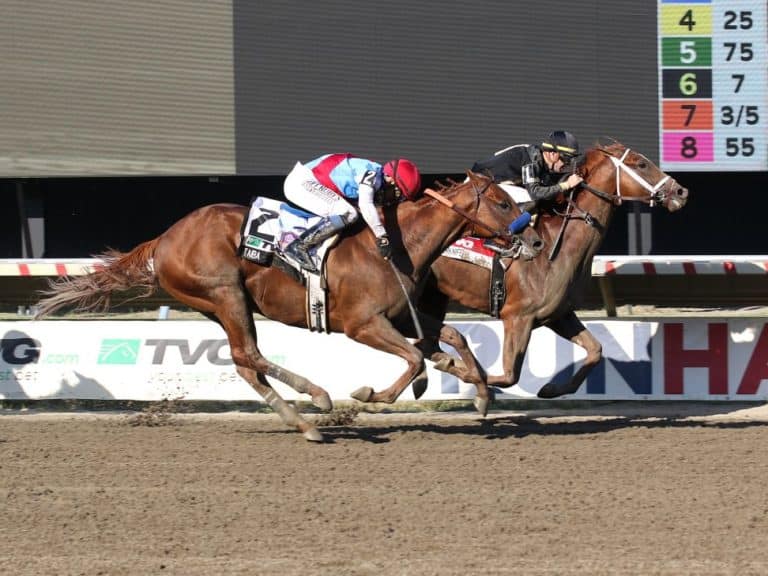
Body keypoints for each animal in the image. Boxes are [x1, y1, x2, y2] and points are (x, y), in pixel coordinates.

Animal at [34, 171, 540, 440]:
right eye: (501, 202)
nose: (535, 239)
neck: (397, 245)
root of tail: (165, 238)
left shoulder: (402, 315)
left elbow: (452, 340)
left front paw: (478, 392)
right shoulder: (362, 324)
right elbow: (415, 359)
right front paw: (369, 395)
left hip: (216, 303)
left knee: (246, 363)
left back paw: (301, 420)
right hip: (225, 293)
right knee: (248, 355)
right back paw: (316, 399)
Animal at [420, 142, 688, 416]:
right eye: (641, 164)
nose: (681, 191)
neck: (553, 247)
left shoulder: (558, 315)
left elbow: (595, 350)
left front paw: (550, 389)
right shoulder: (518, 317)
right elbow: (508, 375)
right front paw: (478, 386)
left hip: (433, 297)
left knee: (427, 345)